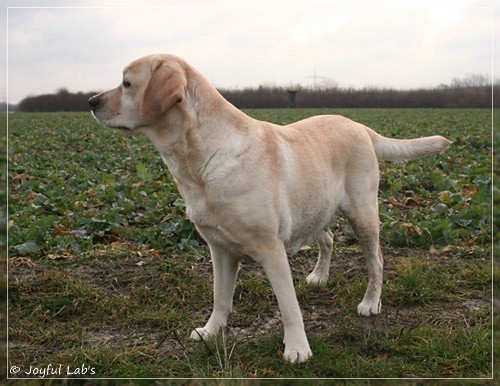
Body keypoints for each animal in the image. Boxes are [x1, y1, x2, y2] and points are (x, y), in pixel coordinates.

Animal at [89, 53, 450, 362]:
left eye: (126, 83)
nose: (91, 101)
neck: (199, 160)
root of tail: (359, 126)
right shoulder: (219, 249)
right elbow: (220, 298)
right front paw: (211, 331)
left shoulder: (270, 248)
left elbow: (288, 305)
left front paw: (297, 349)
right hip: (314, 206)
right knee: (328, 239)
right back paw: (319, 276)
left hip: (363, 214)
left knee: (376, 260)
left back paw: (370, 302)